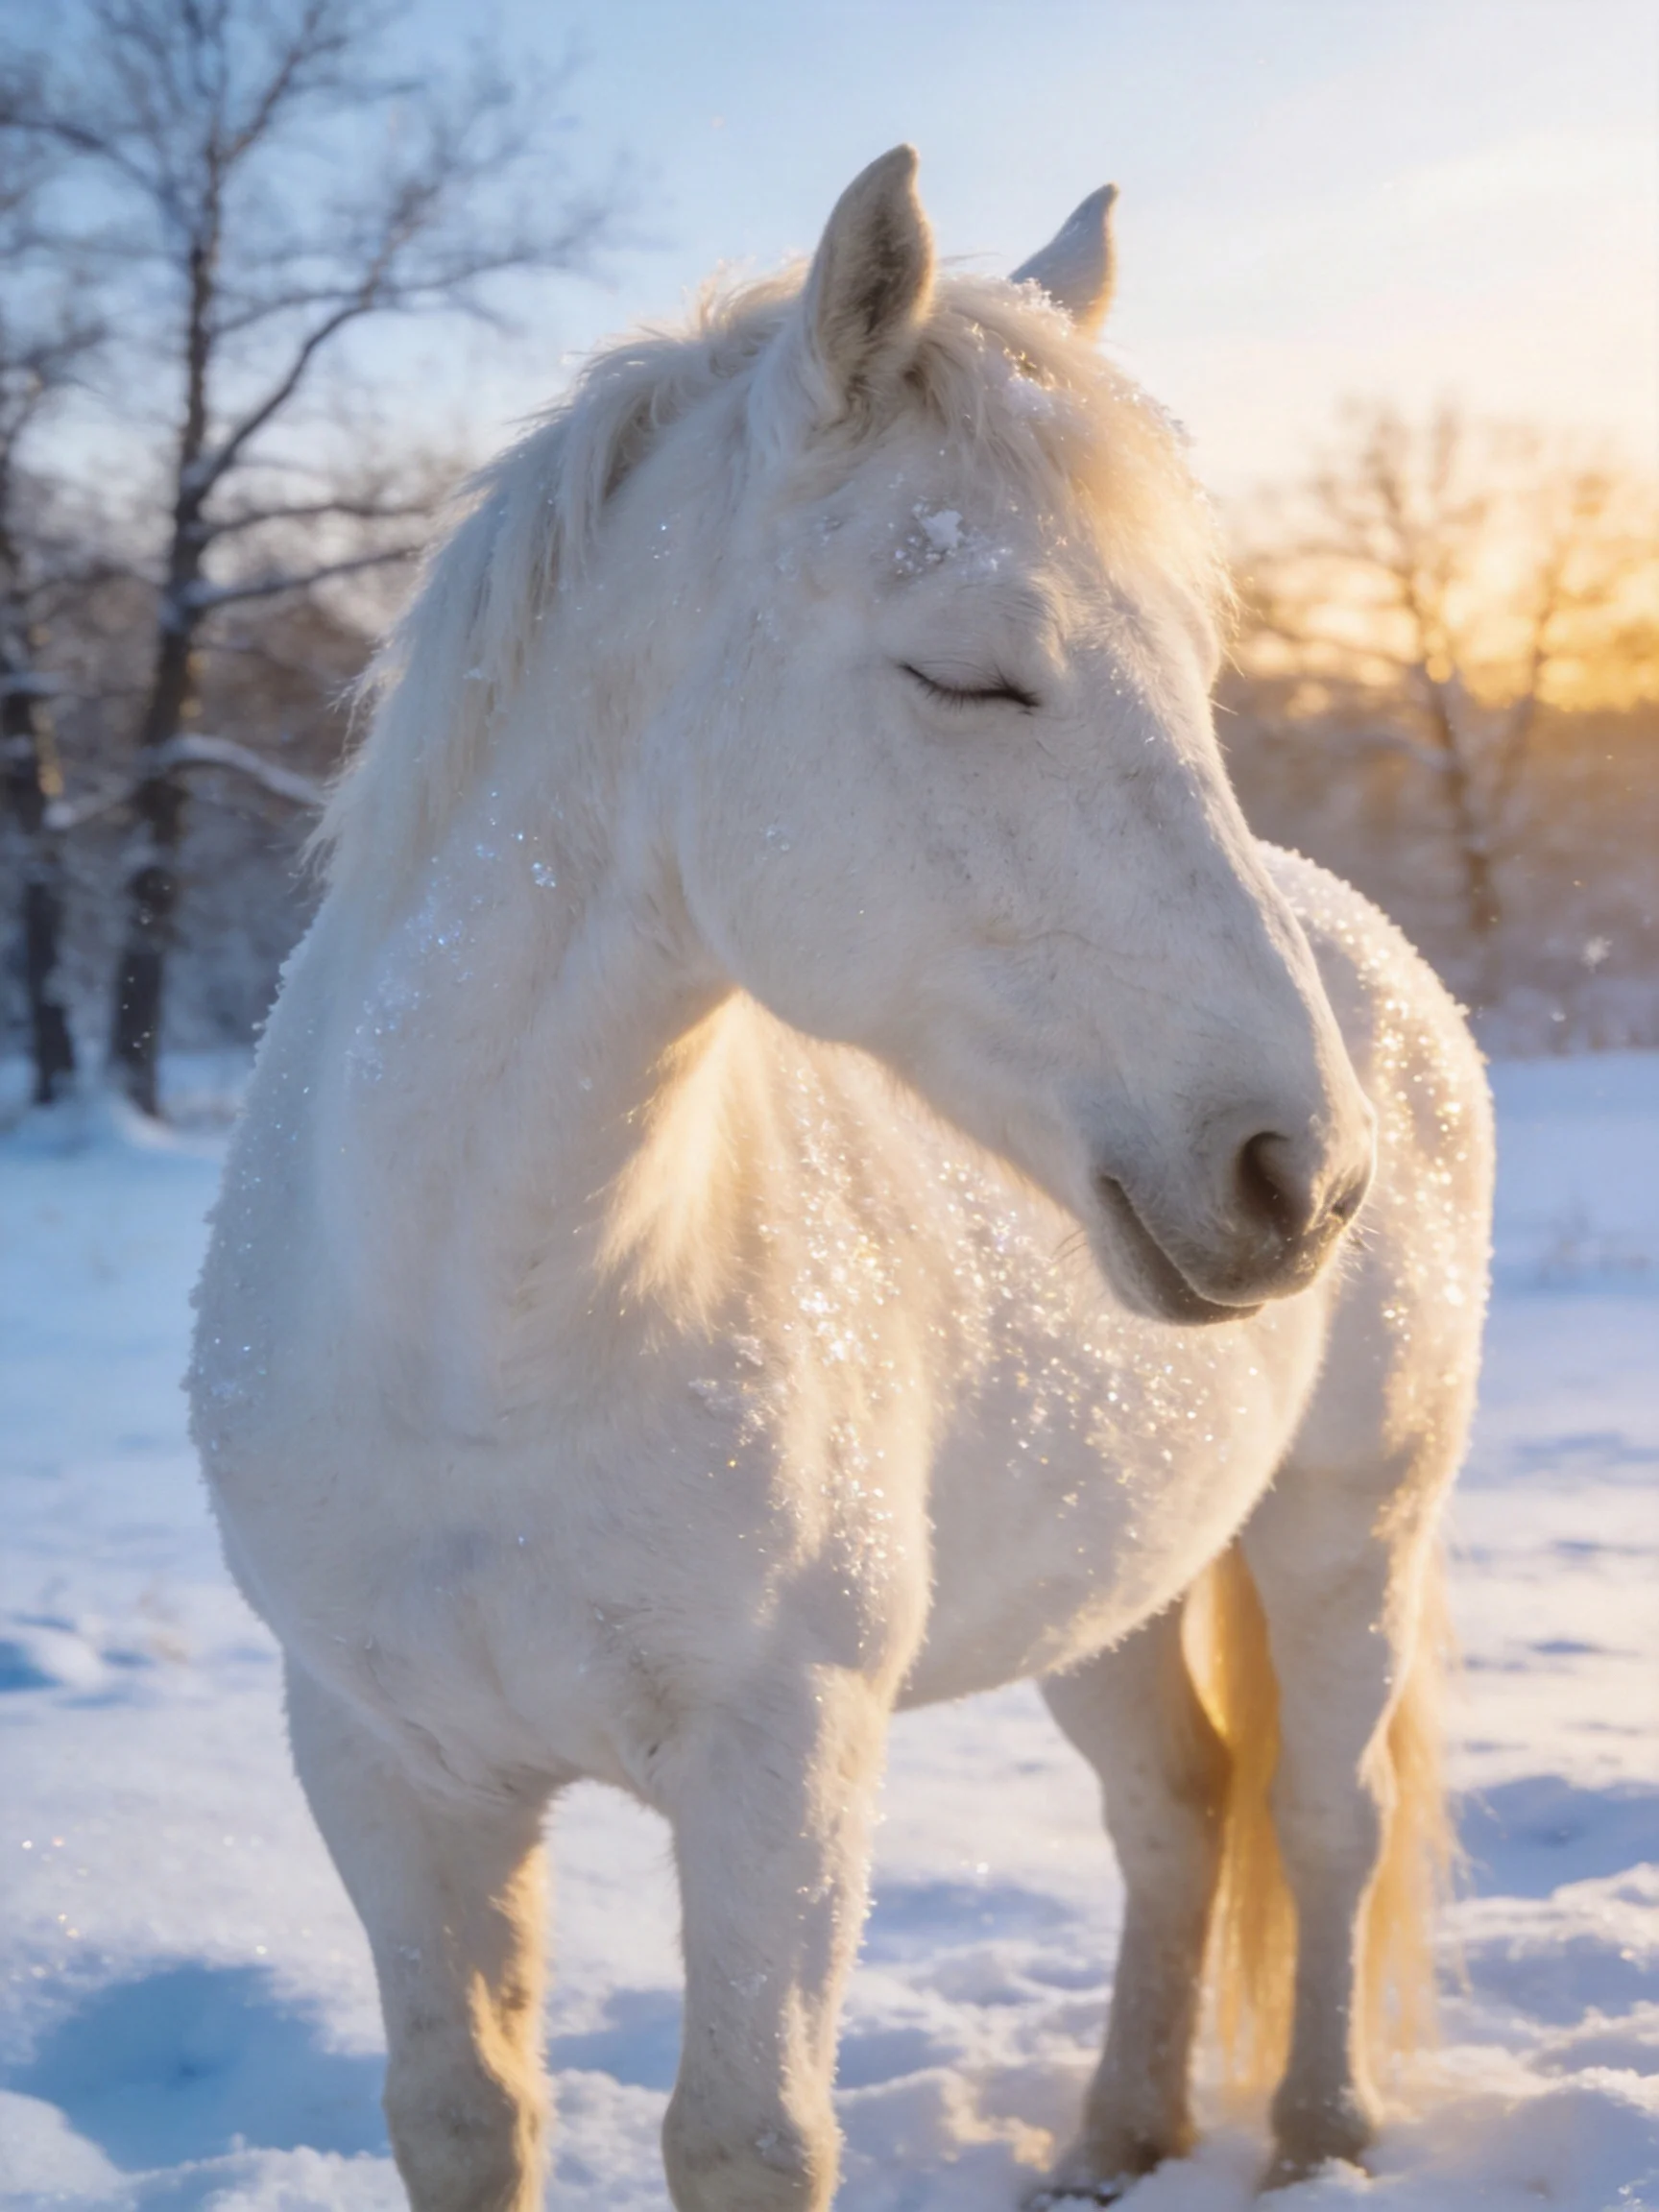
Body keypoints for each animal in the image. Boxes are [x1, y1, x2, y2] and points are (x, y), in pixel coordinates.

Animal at [189, 148, 1493, 2212]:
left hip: (1348, 1518)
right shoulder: (386, 1767)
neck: (485, 1342)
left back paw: (1317, 2138)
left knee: (1323, 1810)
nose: (1296, 1167)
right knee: (1178, 1799)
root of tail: (1385, 972)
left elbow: (747, 2134)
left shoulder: (778, 1768)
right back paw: (1113, 2136)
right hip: (1110, 1576)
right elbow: (462, 2109)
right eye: (966, 672)